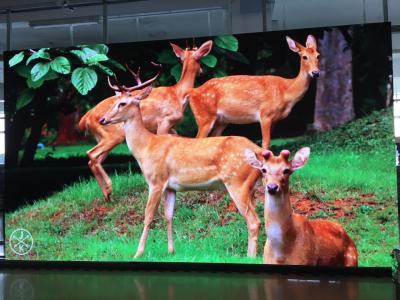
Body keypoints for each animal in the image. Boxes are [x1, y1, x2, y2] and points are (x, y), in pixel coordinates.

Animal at [79, 39, 214, 199]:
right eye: (201, 59)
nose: (202, 71)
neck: (178, 95)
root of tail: (86, 118)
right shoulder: (164, 121)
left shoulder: (171, 127)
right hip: (112, 135)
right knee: (91, 154)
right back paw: (108, 189)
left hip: (103, 137)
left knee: (94, 159)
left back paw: (107, 195)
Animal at [99, 71, 262, 258]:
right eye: (113, 102)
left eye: (122, 103)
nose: (102, 119)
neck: (146, 148)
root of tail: (259, 150)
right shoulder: (171, 187)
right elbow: (169, 215)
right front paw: (171, 250)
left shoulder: (156, 181)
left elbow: (148, 216)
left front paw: (138, 253)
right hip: (250, 185)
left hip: (237, 181)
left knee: (254, 220)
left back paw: (251, 257)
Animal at [189, 35, 320, 148]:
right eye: (304, 57)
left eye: (318, 55)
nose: (315, 72)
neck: (286, 91)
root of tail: (192, 92)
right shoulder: (265, 114)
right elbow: (265, 143)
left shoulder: (275, 120)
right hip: (204, 116)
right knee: (197, 140)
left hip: (221, 121)